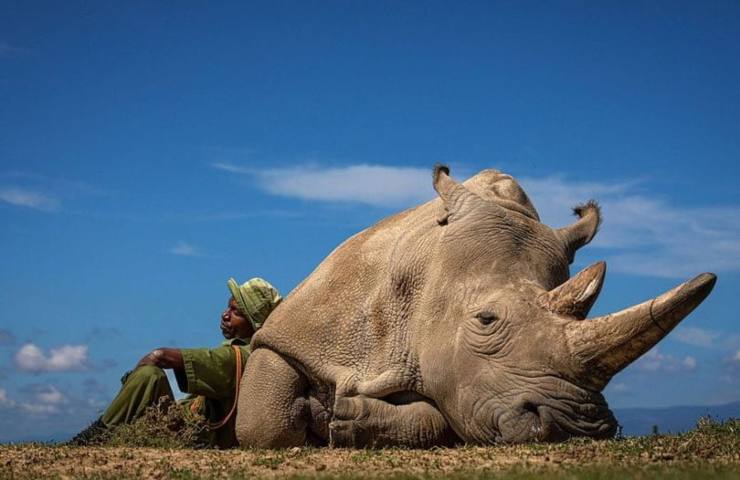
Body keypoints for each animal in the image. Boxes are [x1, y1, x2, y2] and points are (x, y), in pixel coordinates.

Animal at [234, 165, 712, 446]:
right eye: (486, 320)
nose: (579, 427)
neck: (425, 273)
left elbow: (439, 417)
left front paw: (342, 418)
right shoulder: (301, 329)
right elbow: (265, 421)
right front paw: (314, 416)